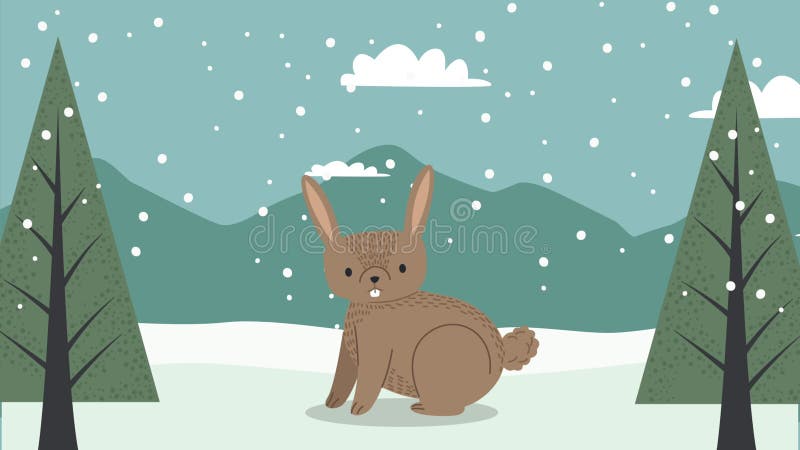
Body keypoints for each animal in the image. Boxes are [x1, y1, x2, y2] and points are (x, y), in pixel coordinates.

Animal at [301, 165, 539, 416]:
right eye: (347, 271)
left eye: (402, 268)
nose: (374, 276)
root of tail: (502, 356)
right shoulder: (349, 349)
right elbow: (342, 376)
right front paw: (331, 403)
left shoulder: (377, 348)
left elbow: (369, 379)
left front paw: (358, 409)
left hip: (434, 351)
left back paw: (423, 408)